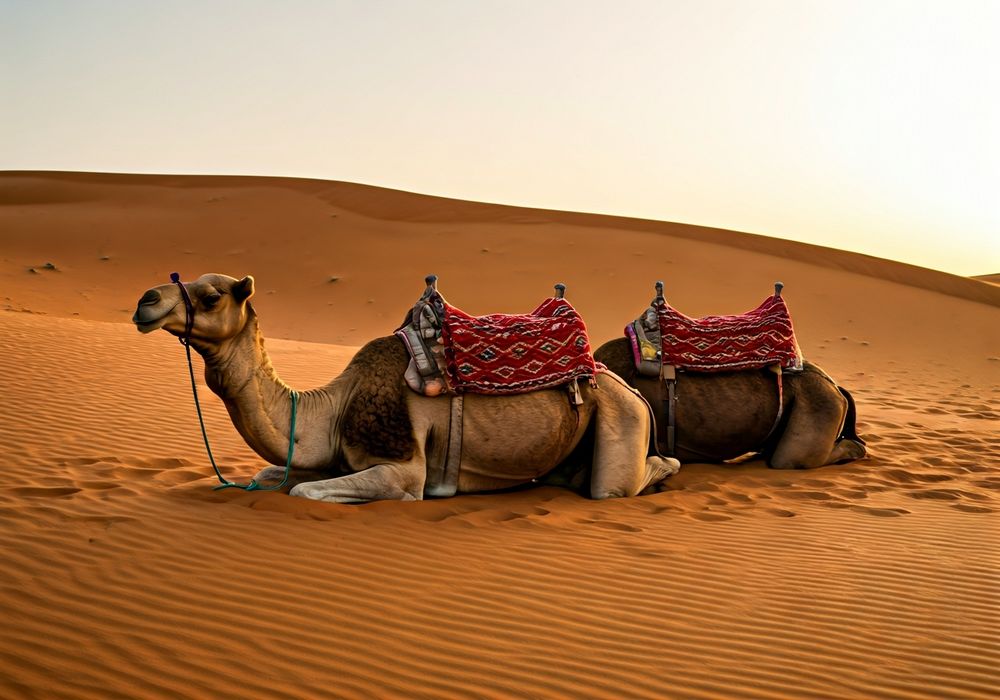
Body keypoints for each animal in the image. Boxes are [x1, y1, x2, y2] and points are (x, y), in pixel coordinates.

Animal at [132, 273, 679, 503]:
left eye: (211, 294)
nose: (145, 300)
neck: (334, 405)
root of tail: (630, 390)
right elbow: (273, 475)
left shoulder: (404, 468)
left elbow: (305, 490)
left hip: (621, 419)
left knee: (625, 480)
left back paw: (667, 469)